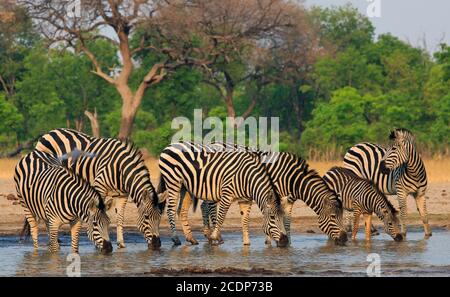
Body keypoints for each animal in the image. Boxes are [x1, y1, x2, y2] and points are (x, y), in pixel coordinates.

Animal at [35, 127, 164, 247]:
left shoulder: (122, 195)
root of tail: (51, 131)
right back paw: (53, 240)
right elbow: (98, 213)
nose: (157, 244)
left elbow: (120, 218)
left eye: (159, 218)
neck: (121, 169)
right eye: (146, 217)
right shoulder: (99, 187)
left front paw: (121, 243)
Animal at [158, 141, 290, 245]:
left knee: (182, 211)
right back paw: (176, 239)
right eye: (272, 217)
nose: (285, 241)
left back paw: (191, 239)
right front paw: (215, 237)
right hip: (173, 181)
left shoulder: (245, 200)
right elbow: (221, 217)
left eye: (283, 216)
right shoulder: (227, 195)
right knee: (170, 209)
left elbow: (245, 220)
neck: (247, 177)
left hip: (186, 187)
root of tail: (170, 145)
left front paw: (246, 243)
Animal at [174, 141, 346, 245]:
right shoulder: (273, 194)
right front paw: (270, 240)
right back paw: (214, 236)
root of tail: (211, 143)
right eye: (333, 217)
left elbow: (287, 220)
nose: (344, 239)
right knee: (209, 207)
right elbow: (272, 216)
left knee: (204, 205)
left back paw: (208, 234)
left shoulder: (288, 200)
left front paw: (287, 240)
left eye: (341, 216)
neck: (290, 178)